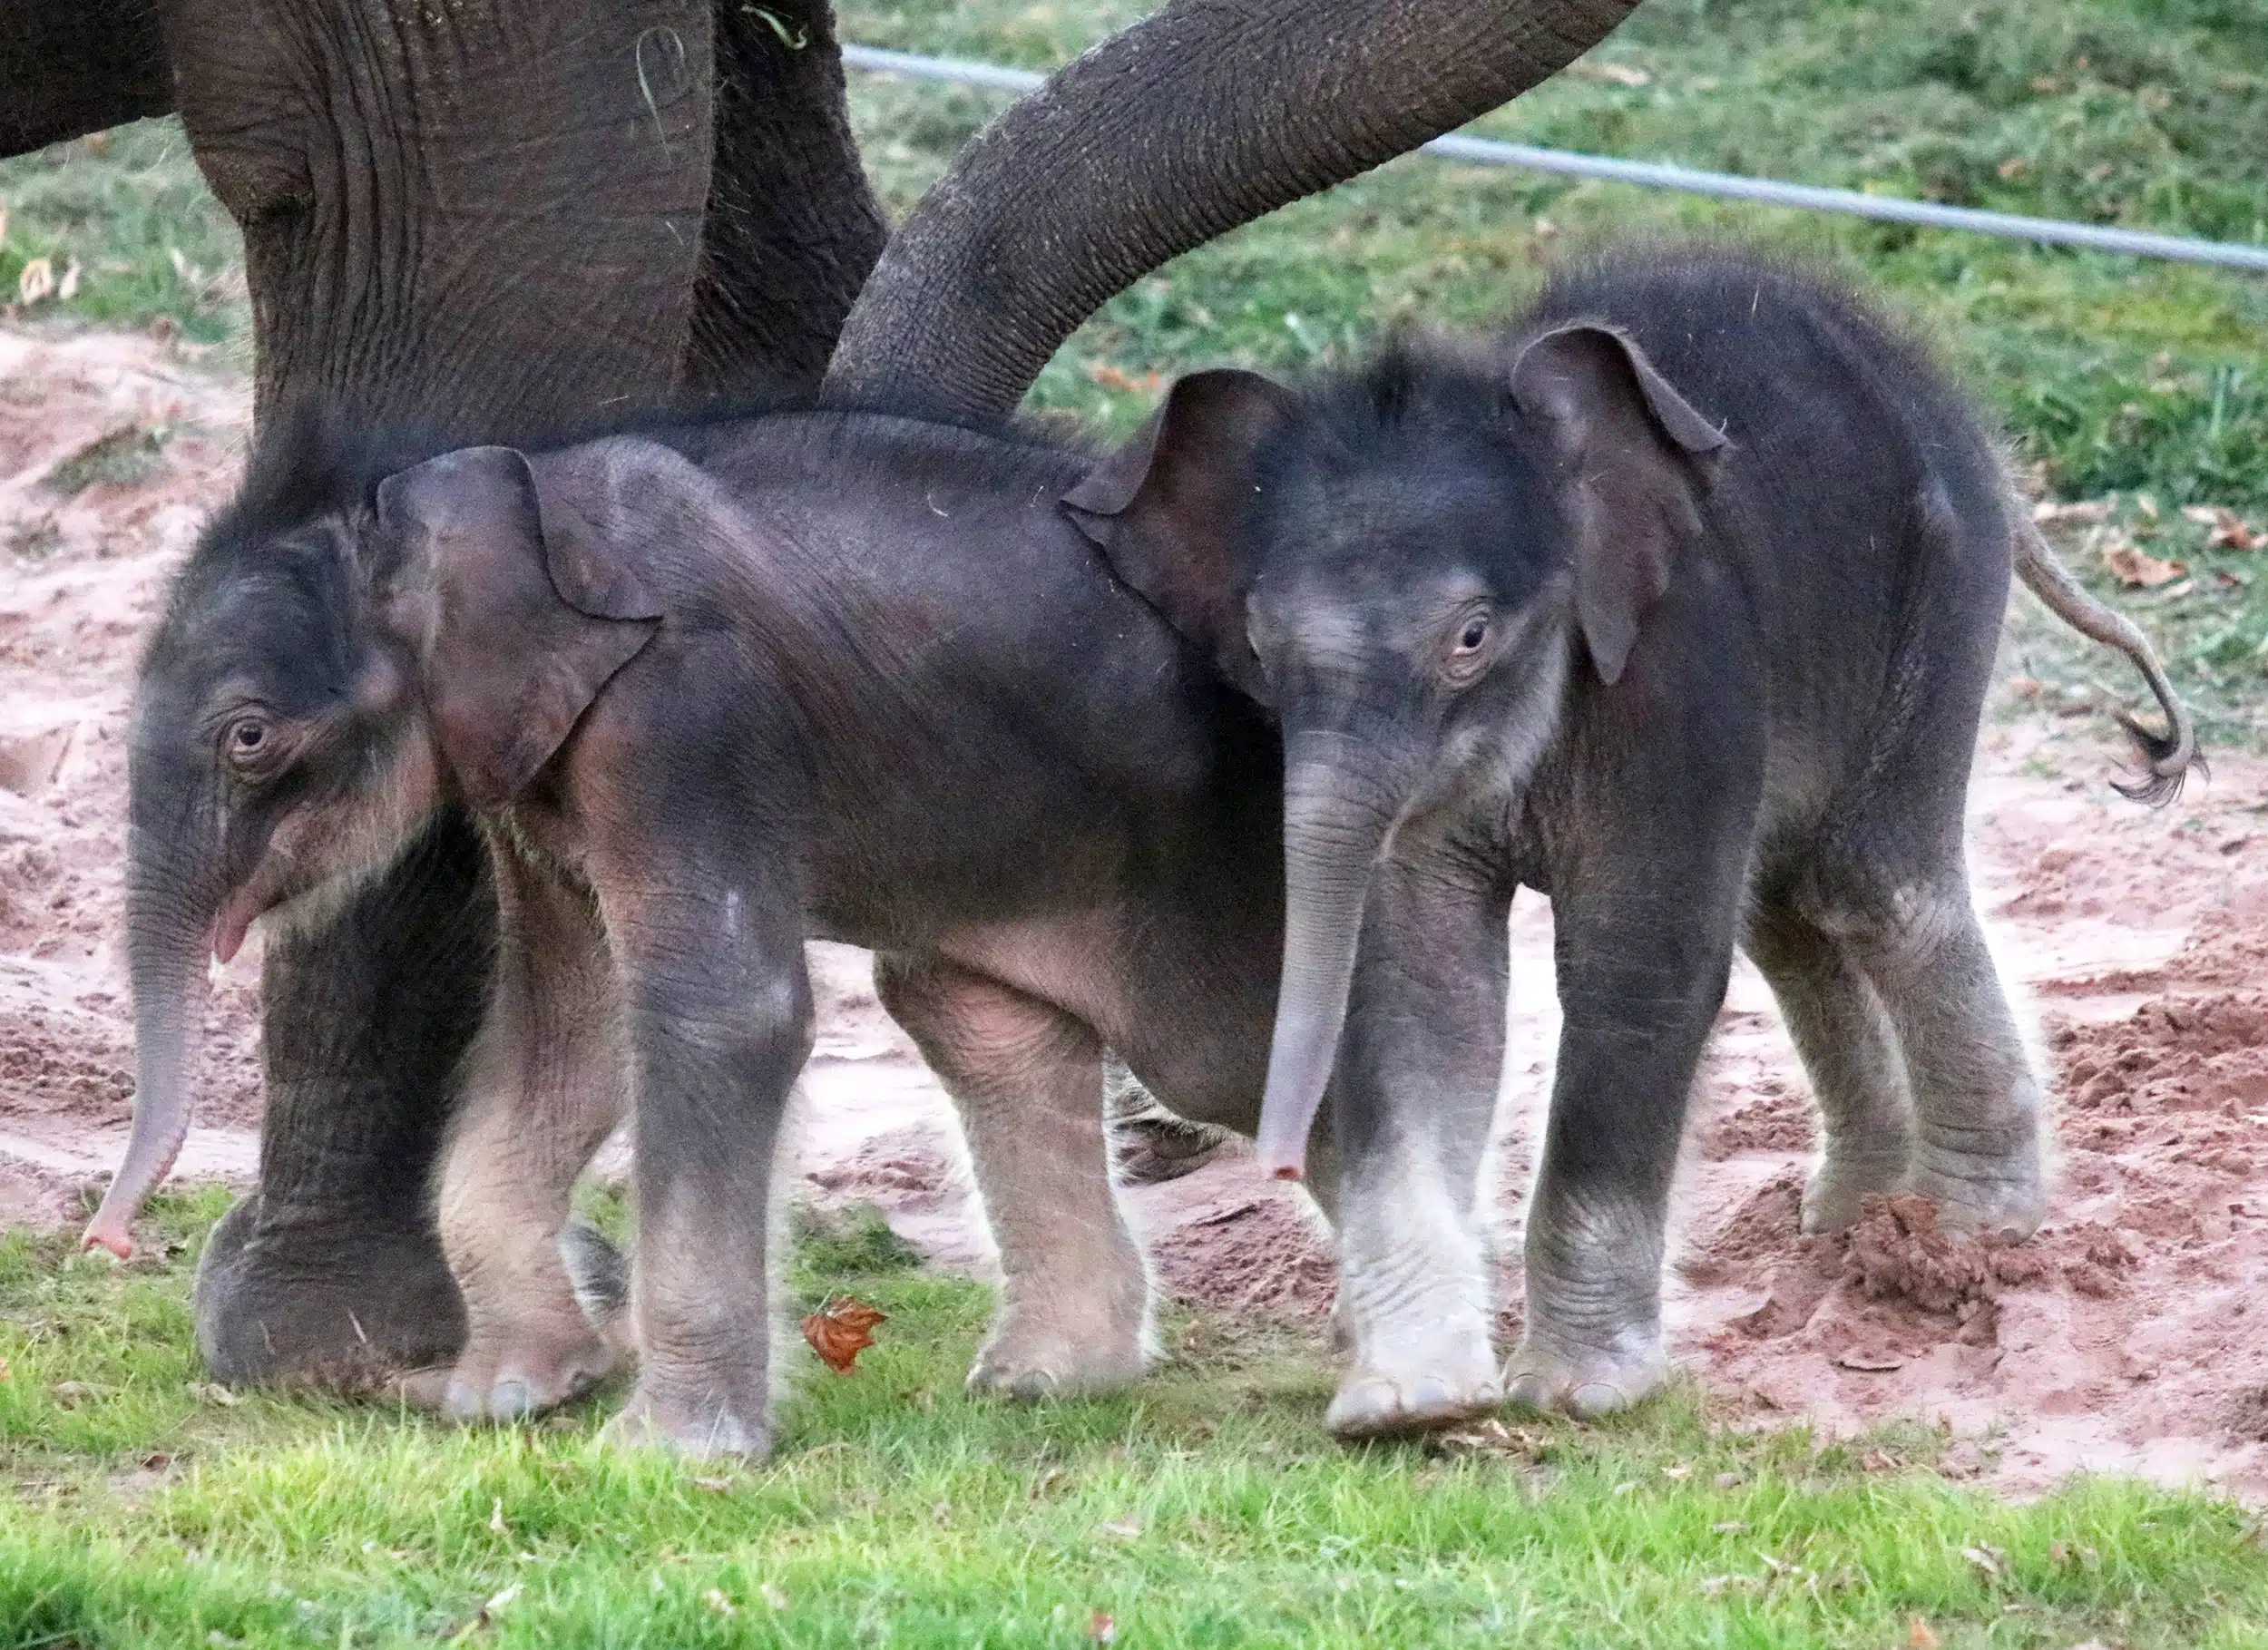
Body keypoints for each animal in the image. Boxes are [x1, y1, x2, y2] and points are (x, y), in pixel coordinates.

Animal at [1066, 248, 2195, 1432]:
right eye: (1261, 645)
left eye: (1471, 637)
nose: (1275, 1163)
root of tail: (1973, 431)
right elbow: (1424, 987)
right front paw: (1411, 1400)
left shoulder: (1674, 669)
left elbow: (1636, 968)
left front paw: (1575, 1396)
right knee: (1785, 907)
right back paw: (1855, 1216)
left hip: (1937, 592)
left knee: (1873, 885)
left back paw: (1973, 1230)